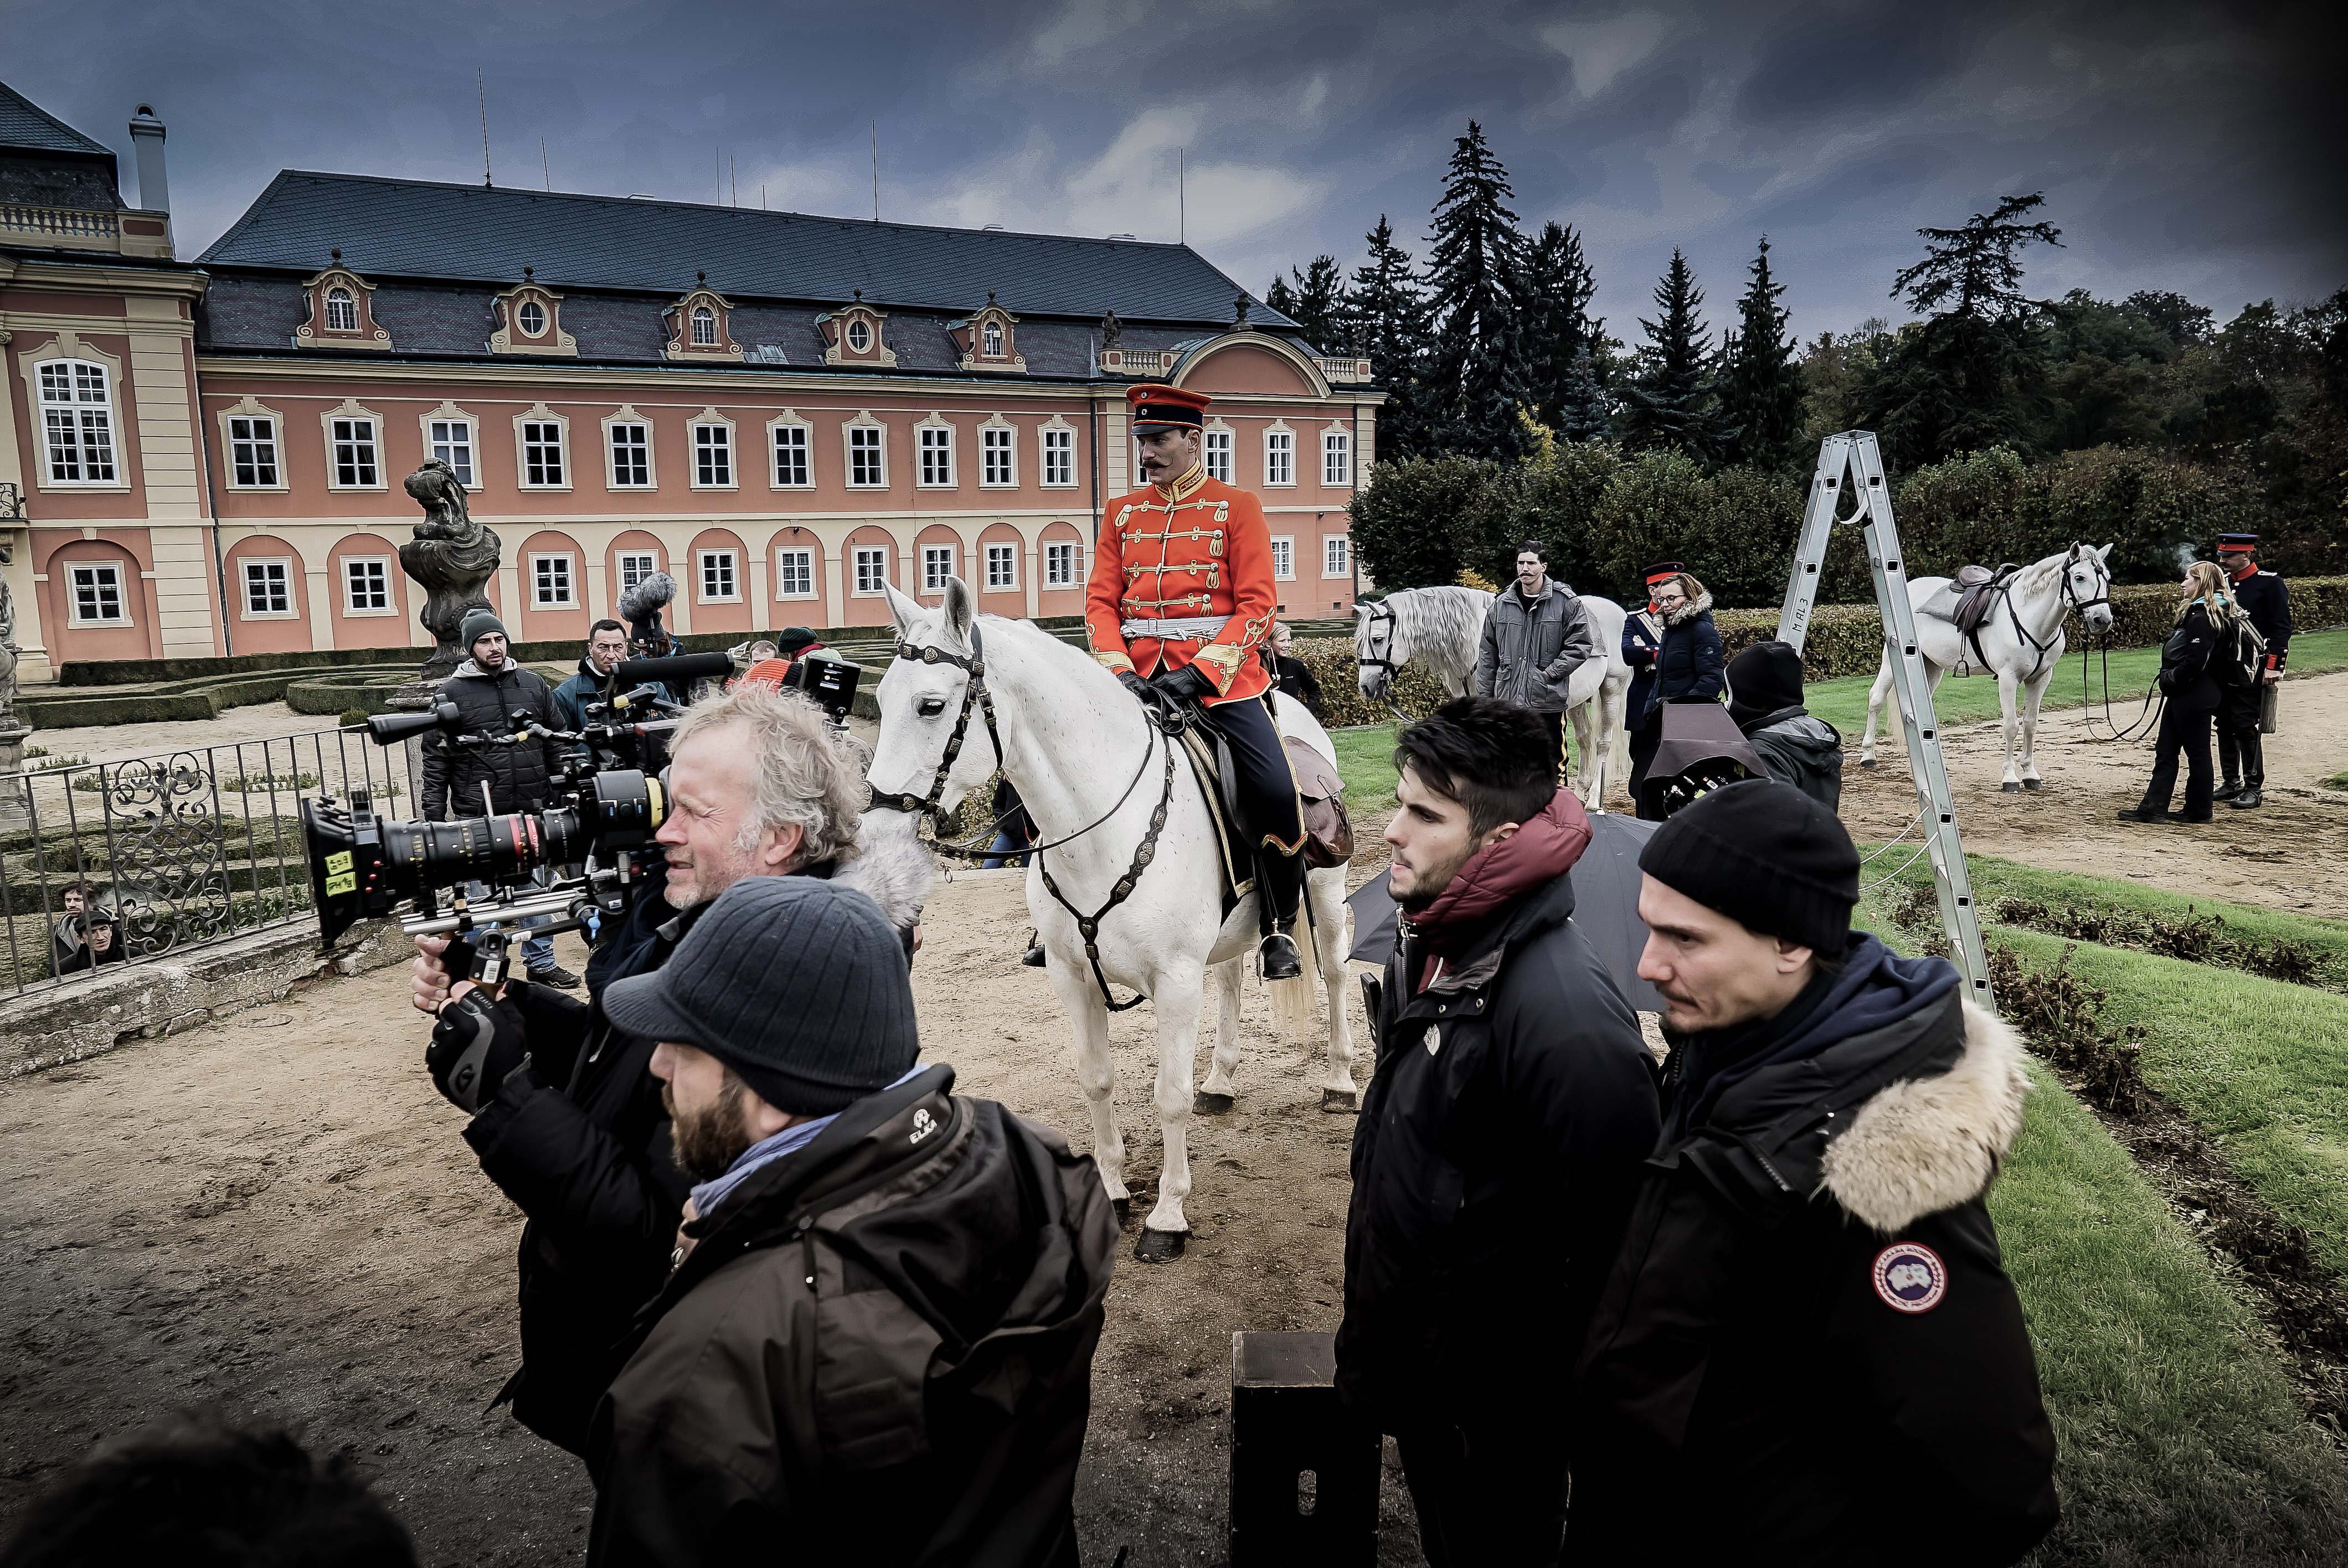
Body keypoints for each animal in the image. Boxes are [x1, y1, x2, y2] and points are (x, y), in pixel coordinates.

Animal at [868, 584, 1362, 1258]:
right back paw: (1222, 1080)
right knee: (1232, 978)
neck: (1098, 827)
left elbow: (1169, 1096)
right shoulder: (1070, 978)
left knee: (1335, 974)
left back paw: (1339, 1080)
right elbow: (1097, 1080)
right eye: (880, 699)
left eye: (931, 705)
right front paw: (1112, 1190)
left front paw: (1168, 1216)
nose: (874, 831)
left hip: (1325, 894)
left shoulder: (1176, 982)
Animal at [1352, 586, 1643, 807]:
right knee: (1584, 740)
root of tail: (1618, 612)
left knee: (1602, 743)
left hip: (1612, 689)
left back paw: (1594, 801)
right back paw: (1579, 794)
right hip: (1577, 702)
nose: (1366, 687)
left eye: (1377, 639)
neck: (1476, 642)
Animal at [1860, 542, 2122, 788]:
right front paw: (2010, 778)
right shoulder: (2008, 678)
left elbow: (2030, 725)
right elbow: (2011, 726)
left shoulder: (2041, 679)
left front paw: (2030, 774)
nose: (2102, 620)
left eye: (2108, 578)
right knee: (1876, 698)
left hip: (1930, 666)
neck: (2028, 617)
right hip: (1891, 662)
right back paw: (1868, 755)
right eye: (2079, 577)